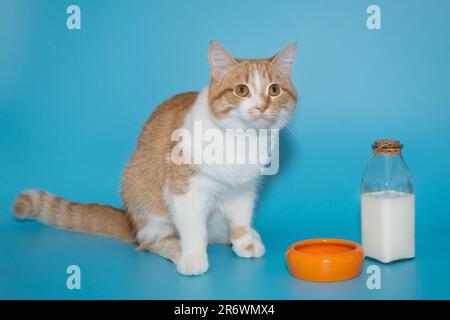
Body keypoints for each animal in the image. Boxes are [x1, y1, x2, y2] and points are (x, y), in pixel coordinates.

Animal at [12, 40, 298, 276]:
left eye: (274, 90)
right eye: (241, 90)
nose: (261, 106)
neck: (242, 140)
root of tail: (131, 221)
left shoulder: (243, 190)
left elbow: (240, 220)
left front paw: (244, 241)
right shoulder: (185, 190)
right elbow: (193, 229)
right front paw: (194, 256)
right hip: (146, 204)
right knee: (151, 242)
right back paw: (178, 250)